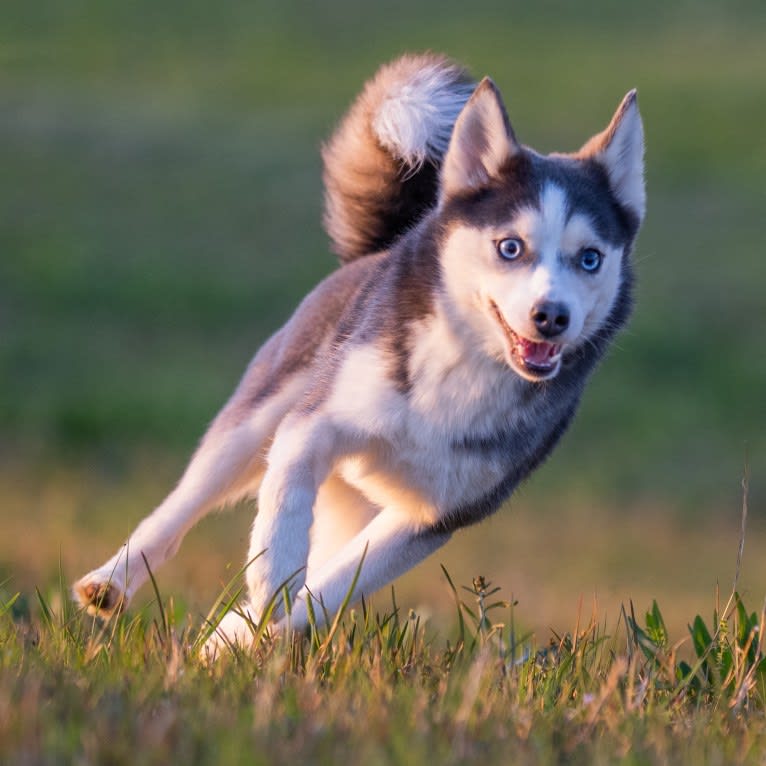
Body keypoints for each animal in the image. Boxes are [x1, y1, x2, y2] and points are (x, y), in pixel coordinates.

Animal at [73, 54, 648, 656]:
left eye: (589, 258)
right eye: (510, 247)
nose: (551, 316)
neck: (461, 369)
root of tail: (379, 250)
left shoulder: (431, 517)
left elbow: (332, 588)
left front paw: (263, 634)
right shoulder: (314, 423)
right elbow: (284, 501)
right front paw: (273, 579)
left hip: (354, 500)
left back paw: (226, 639)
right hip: (255, 421)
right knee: (181, 506)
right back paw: (112, 583)